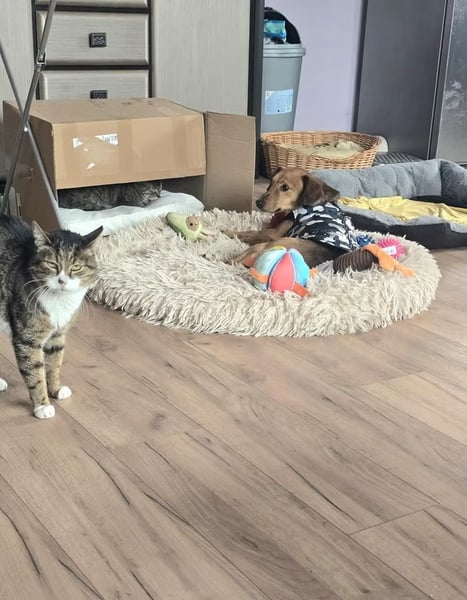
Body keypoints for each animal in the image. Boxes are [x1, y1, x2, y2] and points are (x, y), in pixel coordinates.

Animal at [0, 215, 102, 419]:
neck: (59, 302)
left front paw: (55, 389)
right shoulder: (28, 339)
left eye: (76, 267)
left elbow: (54, 364)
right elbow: (35, 372)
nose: (62, 281)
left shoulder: (58, 335)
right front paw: (42, 405)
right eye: (52, 265)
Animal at [225, 167, 359, 268]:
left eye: (285, 187)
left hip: (266, 245)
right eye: (271, 183)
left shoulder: (274, 233)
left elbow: (249, 232)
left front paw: (228, 232)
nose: (258, 203)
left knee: (236, 259)